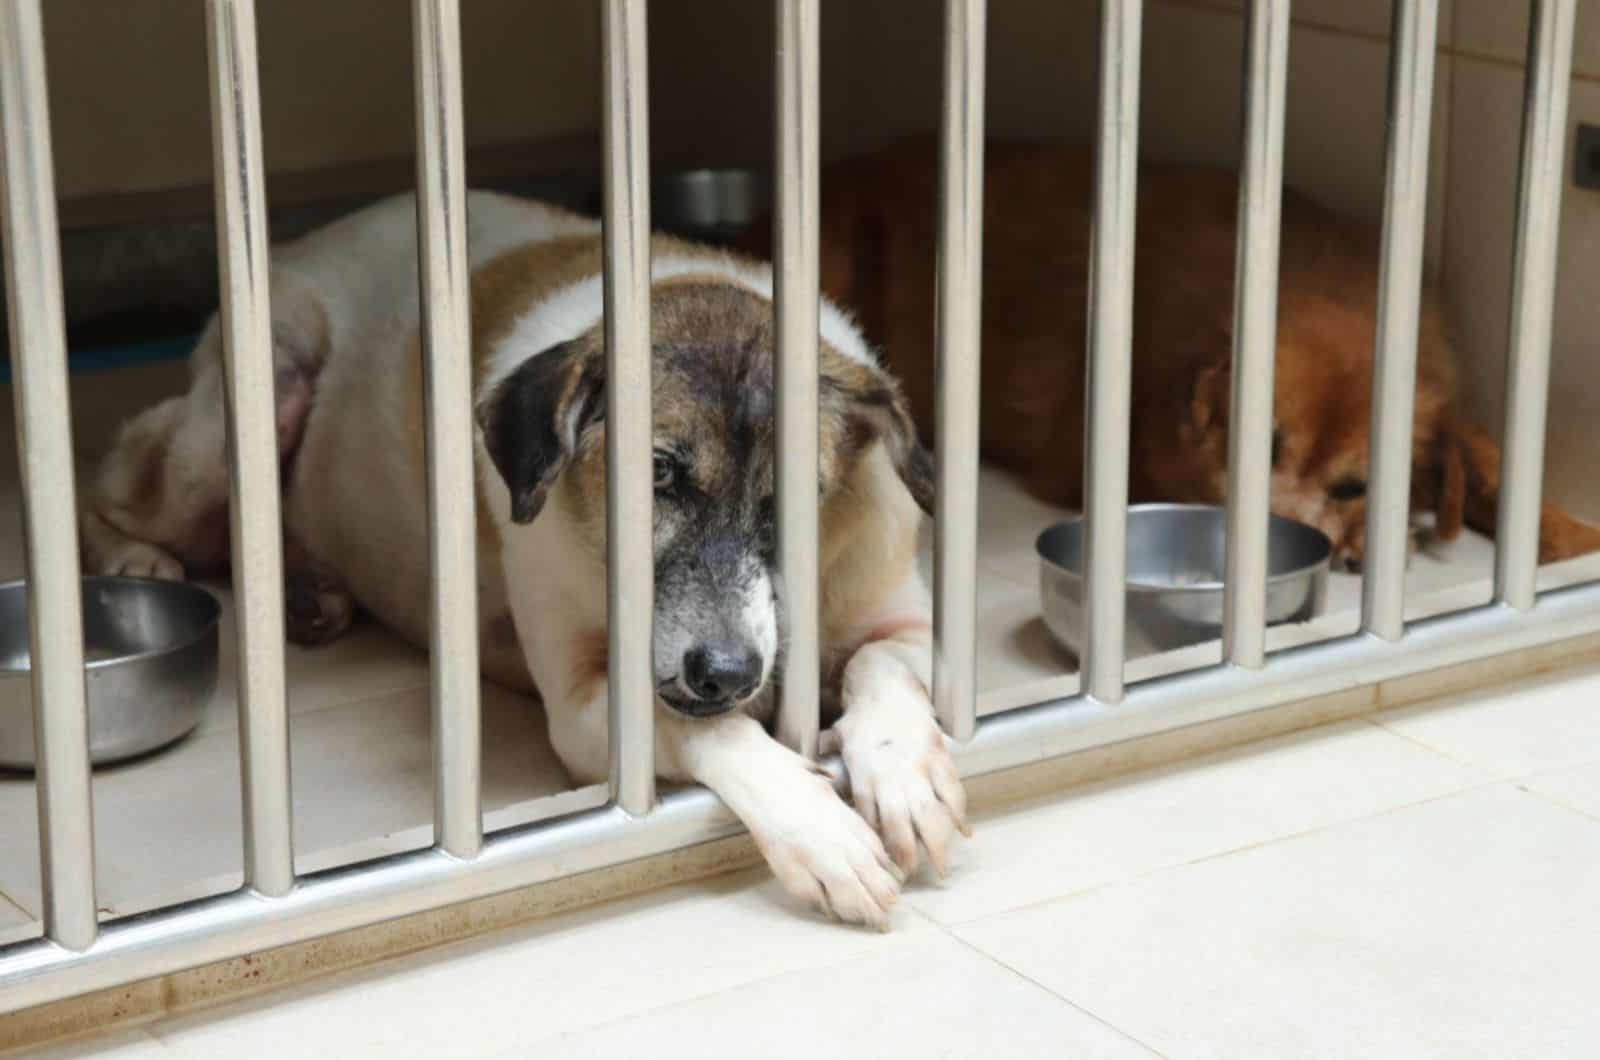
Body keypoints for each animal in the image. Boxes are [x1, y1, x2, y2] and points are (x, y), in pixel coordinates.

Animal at [81, 192, 966, 928]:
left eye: (799, 496)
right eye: (656, 474)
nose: (725, 673)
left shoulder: (905, 621)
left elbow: (880, 669)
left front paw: (905, 777)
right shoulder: (583, 709)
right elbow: (712, 733)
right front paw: (820, 829)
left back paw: (311, 591)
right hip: (244, 409)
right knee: (114, 491)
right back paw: (133, 564)